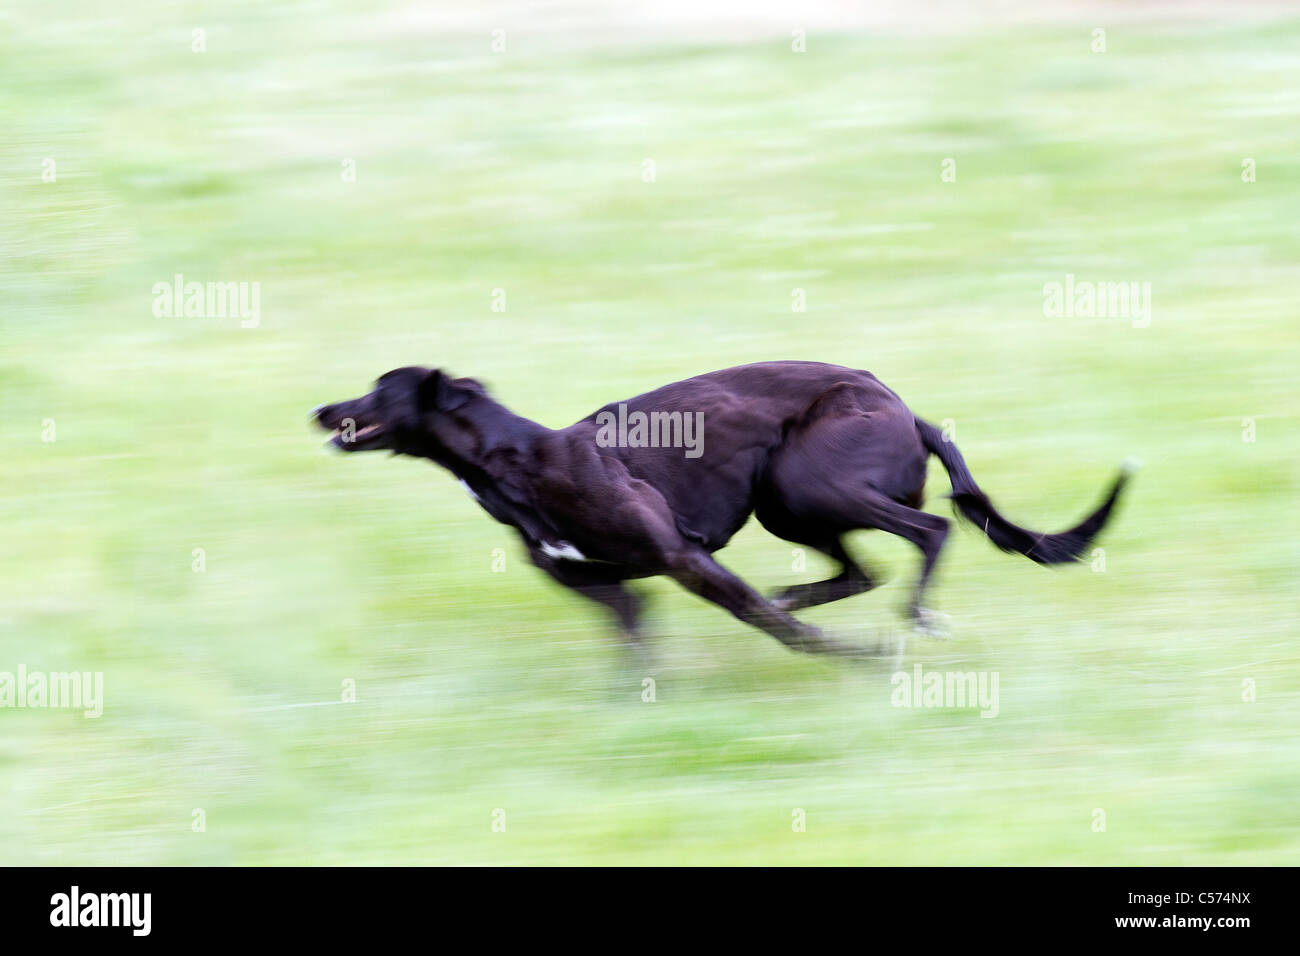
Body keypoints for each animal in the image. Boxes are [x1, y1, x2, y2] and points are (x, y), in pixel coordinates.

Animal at [314, 358, 1128, 658]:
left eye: (380, 388)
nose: (321, 410)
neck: (517, 461)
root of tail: (908, 410)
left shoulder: (683, 558)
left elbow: (775, 628)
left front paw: (852, 658)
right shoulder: (616, 592)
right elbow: (637, 649)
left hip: (807, 482)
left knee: (928, 534)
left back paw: (917, 616)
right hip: (786, 504)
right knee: (858, 571)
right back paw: (814, 592)